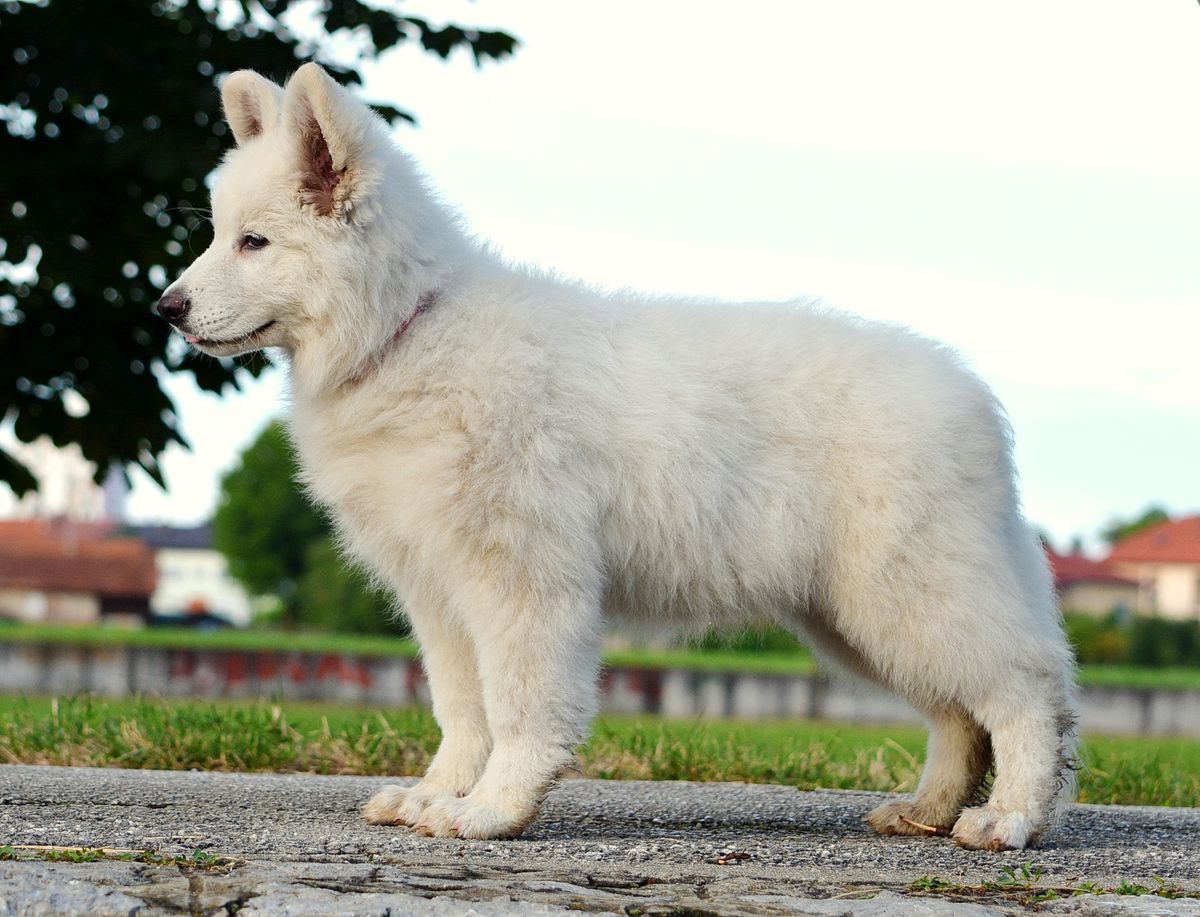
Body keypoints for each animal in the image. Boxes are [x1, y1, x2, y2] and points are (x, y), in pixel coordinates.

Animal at [162, 64, 1080, 854]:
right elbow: (462, 709)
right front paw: (438, 794)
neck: (408, 331)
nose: (167, 307)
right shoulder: (438, 592)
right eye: (218, 235)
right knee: (959, 714)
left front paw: (493, 809)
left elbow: (521, 706)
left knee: (1026, 692)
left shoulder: (523, 581)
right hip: (858, 614)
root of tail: (973, 396)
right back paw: (929, 809)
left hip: (909, 592)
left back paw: (1009, 817)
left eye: (254, 242)